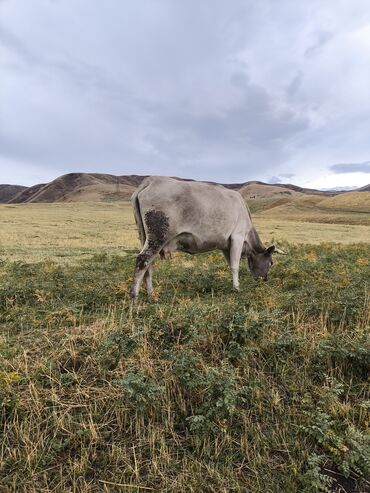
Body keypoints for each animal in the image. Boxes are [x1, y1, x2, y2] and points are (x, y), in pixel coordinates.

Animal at [129, 175, 284, 298]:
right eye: (271, 262)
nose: (265, 280)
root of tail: (151, 180)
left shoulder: (226, 245)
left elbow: (230, 265)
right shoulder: (237, 237)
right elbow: (235, 266)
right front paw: (237, 288)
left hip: (145, 237)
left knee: (148, 265)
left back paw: (151, 293)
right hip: (158, 235)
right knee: (142, 260)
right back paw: (135, 295)